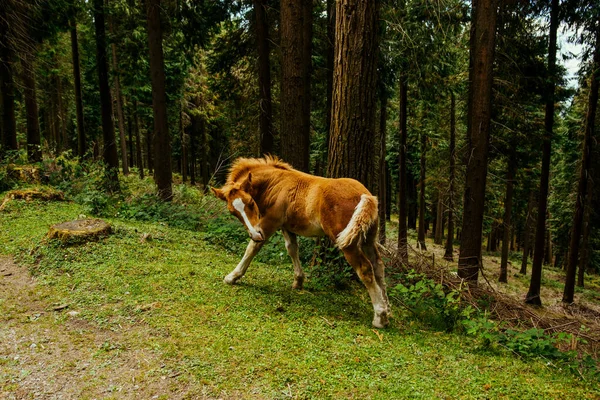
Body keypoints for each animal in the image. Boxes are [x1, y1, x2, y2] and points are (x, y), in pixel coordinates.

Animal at [213, 156, 392, 328]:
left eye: (250, 203)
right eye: (233, 212)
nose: (255, 234)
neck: (276, 185)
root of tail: (365, 195)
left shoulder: (270, 223)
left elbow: (252, 248)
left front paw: (232, 276)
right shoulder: (286, 227)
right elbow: (292, 248)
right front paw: (298, 281)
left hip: (349, 243)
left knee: (365, 268)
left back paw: (380, 317)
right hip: (368, 239)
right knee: (378, 265)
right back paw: (387, 308)